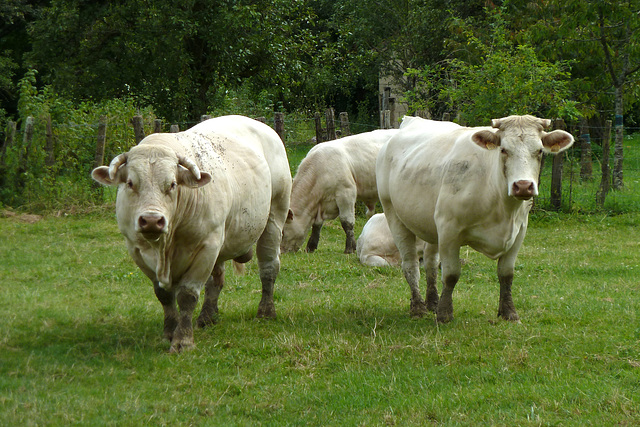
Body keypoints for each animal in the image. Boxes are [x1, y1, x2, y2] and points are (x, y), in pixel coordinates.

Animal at [91, 115, 292, 352]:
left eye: (172, 184)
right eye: (130, 183)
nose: (151, 220)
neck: (165, 248)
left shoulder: (207, 246)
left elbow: (187, 295)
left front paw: (183, 340)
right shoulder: (136, 249)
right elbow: (164, 295)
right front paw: (169, 332)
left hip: (275, 216)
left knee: (269, 267)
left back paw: (266, 311)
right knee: (216, 279)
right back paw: (207, 316)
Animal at [376, 115, 576, 322]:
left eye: (539, 151)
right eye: (503, 150)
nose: (522, 186)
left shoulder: (519, 231)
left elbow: (506, 274)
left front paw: (509, 312)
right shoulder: (448, 229)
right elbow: (451, 274)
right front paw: (445, 314)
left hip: (430, 225)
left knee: (430, 263)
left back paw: (432, 302)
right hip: (393, 214)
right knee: (410, 265)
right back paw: (418, 308)